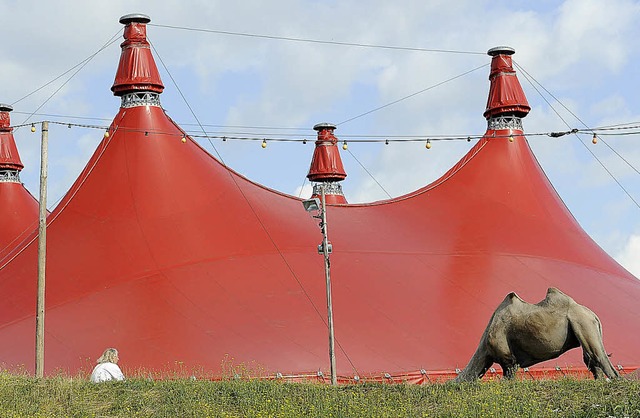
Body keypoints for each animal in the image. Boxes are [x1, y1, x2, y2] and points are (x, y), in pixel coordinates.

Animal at [452, 288, 616, 382]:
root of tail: (594, 316)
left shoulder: (508, 360)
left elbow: (507, 381)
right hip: (584, 327)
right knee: (590, 358)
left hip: (583, 323)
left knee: (598, 357)